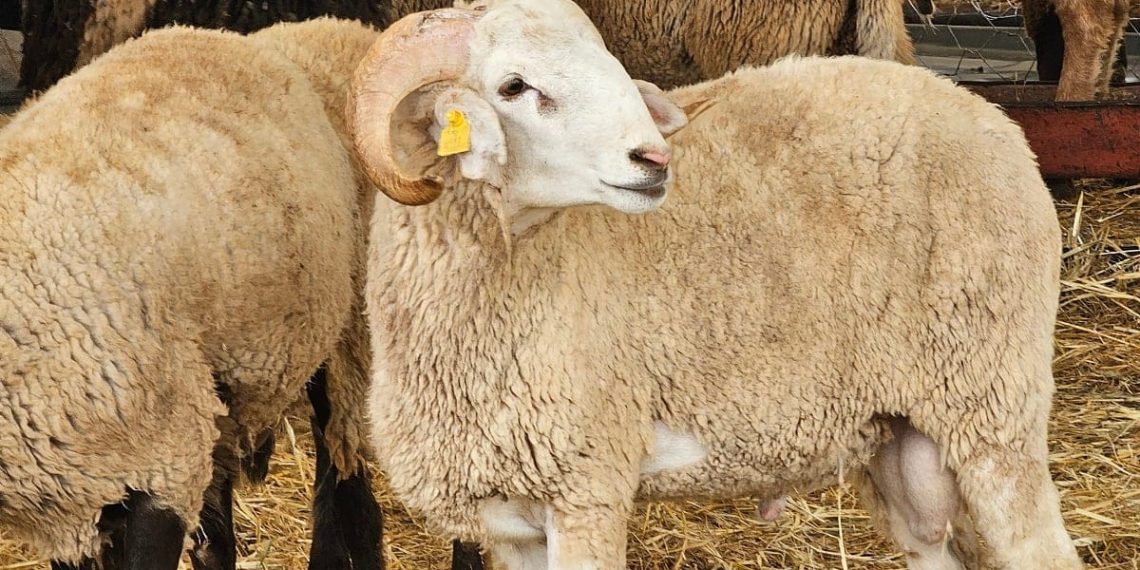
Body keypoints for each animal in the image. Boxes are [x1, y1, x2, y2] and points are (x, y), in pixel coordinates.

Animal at [352, 1, 1084, 568]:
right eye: (512, 86)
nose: (653, 157)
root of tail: (997, 121)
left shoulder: (589, 486)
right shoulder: (509, 524)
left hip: (993, 399)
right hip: (904, 436)